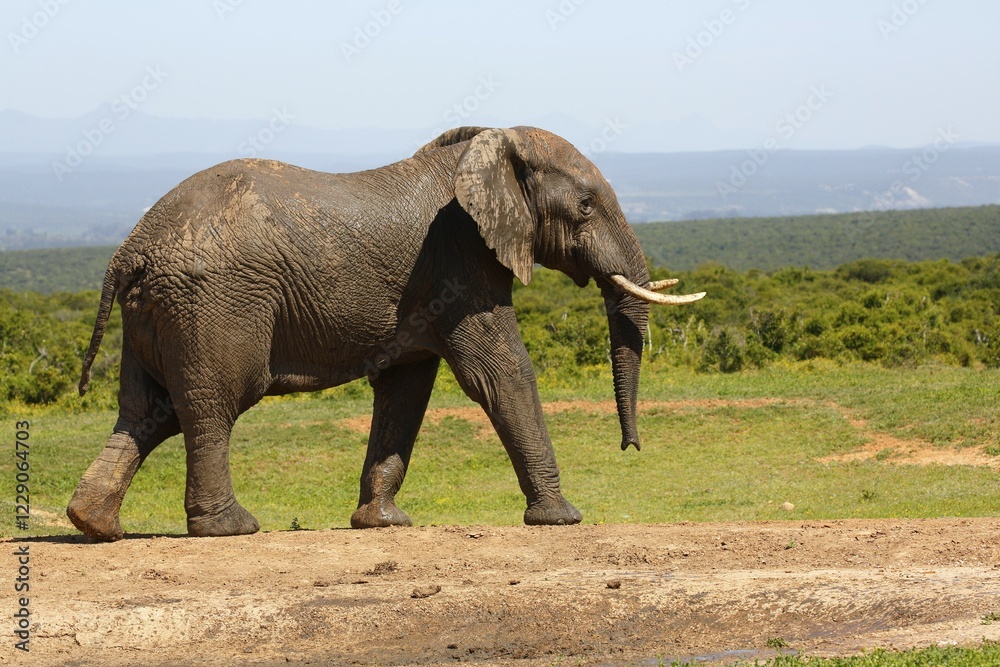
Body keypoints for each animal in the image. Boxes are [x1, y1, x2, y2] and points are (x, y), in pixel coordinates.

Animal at [67, 125, 704, 541]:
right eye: (586, 205)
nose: (630, 448)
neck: (489, 145)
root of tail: (128, 251)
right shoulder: (459, 260)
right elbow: (500, 373)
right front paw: (562, 518)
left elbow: (406, 389)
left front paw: (382, 524)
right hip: (213, 305)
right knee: (213, 405)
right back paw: (230, 528)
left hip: (160, 310)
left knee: (147, 412)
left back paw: (93, 524)